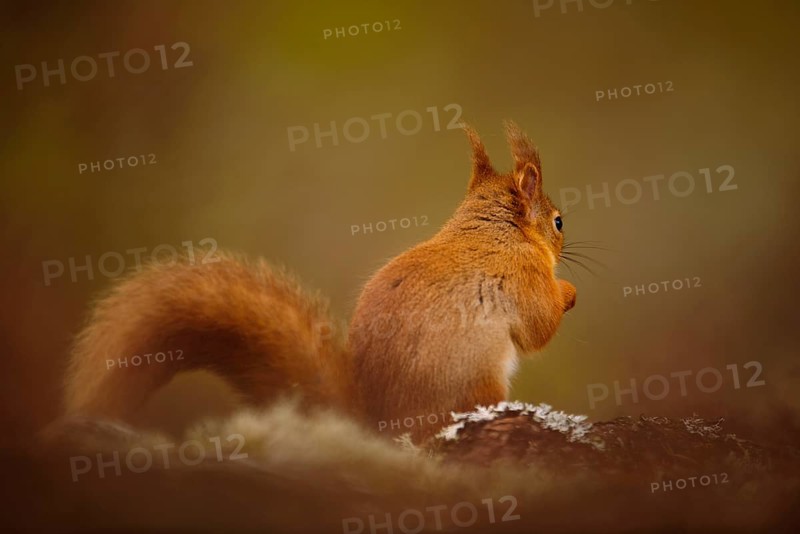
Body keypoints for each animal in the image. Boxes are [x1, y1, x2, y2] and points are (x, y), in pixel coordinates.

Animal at [63, 121, 576, 441]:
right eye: (558, 222)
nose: (565, 246)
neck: (491, 230)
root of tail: (378, 426)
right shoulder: (524, 278)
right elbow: (538, 329)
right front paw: (568, 292)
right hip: (478, 379)